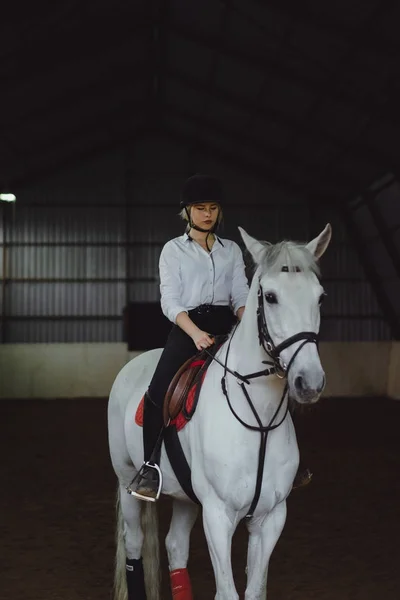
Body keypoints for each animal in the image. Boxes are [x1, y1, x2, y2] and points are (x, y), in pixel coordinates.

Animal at [107, 225, 332, 600]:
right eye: (271, 297)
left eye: (320, 297)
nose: (309, 382)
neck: (258, 420)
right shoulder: (217, 515)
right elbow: (228, 593)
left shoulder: (271, 518)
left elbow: (255, 590)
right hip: (128, 483)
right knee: (135, 545)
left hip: (185, 497)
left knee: (175, 547)